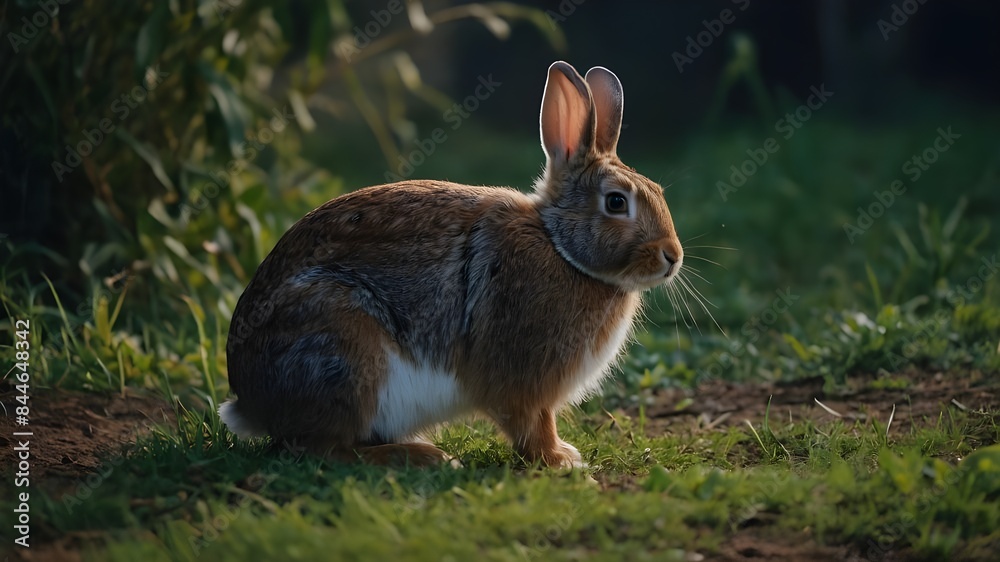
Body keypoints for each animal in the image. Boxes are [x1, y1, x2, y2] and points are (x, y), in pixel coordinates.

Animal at [219, 61, 683, 468]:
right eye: (616, 202)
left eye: (659, 192)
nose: (673, 257)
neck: (558, 245)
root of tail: (249, 401)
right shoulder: (521, 379)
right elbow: (532, 423)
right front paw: (559, 460)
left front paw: (563, 456)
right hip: (343, 348)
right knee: (320, 449)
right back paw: (422, 457)